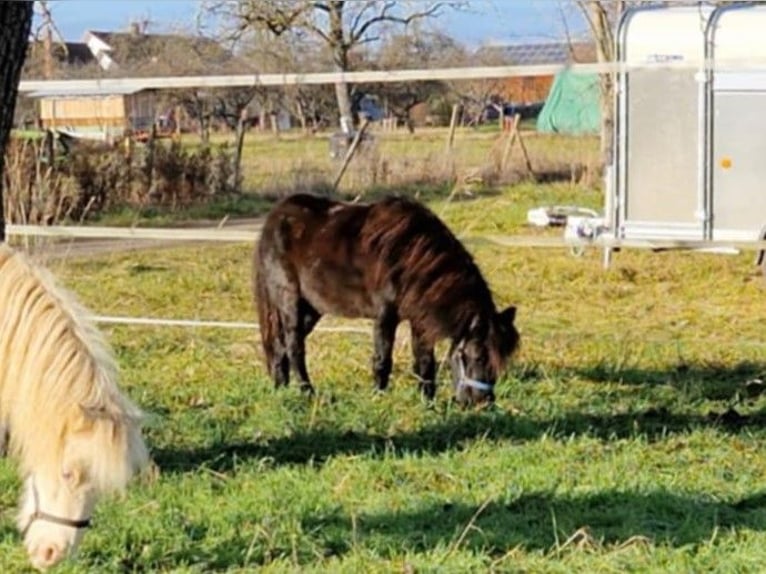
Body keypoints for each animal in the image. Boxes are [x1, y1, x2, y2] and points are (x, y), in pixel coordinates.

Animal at [254, 193, 520, 405]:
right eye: (478, 356)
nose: (482, 404)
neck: (409, 256)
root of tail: (274, 218)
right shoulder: (385, 317)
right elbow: (383, 361)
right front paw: (378, 398)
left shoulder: (419, 320)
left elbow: (425, 363)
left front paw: (428, 403)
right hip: (290, 302)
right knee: (294, 346)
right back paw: (307, 392)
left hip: (312, 309)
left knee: (280, 346)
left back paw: (280, 389)